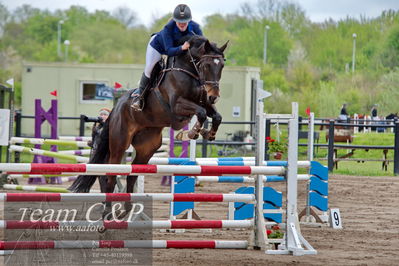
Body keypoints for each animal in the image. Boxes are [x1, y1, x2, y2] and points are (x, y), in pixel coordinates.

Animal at [69, 35, 228, 217]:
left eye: (222, 65)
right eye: (207, 65)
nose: (214, 96)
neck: (189, 71)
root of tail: (115, 109)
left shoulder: (204, 102)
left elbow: (216, 116)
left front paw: (209, 134)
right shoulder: (178, 105)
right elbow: (200, 113)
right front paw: (192, 133)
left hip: (147, 148)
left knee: (131, 174)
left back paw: (127, 209)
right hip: (119, 143)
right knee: (110, 175)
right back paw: (108, 212)